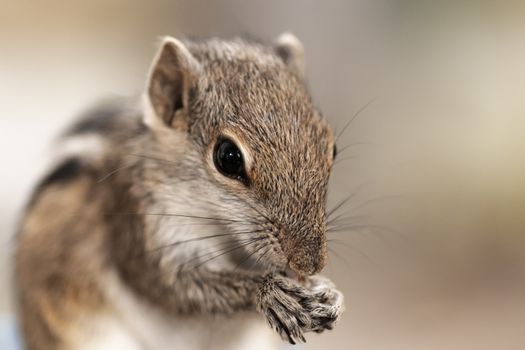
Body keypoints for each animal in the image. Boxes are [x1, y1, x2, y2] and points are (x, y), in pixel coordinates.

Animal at [13, 33, 344, 350]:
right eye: (228, 157)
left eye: (332, 148)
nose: (309, 263)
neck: (218, 226)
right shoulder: (137, 220)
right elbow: (170, 287)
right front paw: (271, 292)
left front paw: (327, 292)